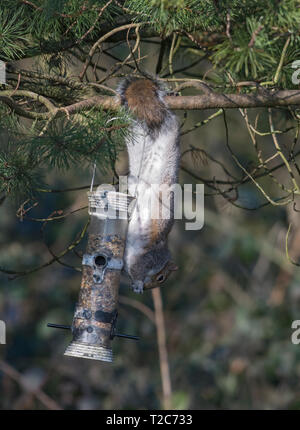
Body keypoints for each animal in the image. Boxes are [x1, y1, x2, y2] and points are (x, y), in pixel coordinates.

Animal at [117, 76, 179, 292]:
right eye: (161, 278)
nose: (149, 288)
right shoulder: (146, 259)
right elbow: (136, 269)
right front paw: (137, 284)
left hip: (143, 151)